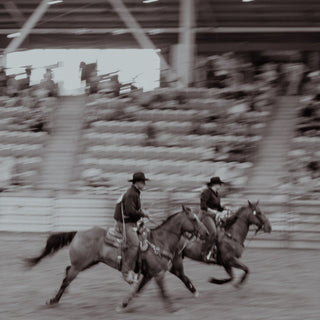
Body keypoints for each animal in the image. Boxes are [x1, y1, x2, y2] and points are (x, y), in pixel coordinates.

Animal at [23, 205, 208, 312]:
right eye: (193, 218)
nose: (206, 233)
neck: (160, 241)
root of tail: (78, 232)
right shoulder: (158, 273)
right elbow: (163, 291)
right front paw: (172, 308)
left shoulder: (149, 274)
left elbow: (137, 290)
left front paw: (123, 304)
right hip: (79, 265)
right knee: (67, 279)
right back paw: (53, 300)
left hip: (88, 262)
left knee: (66, 272)